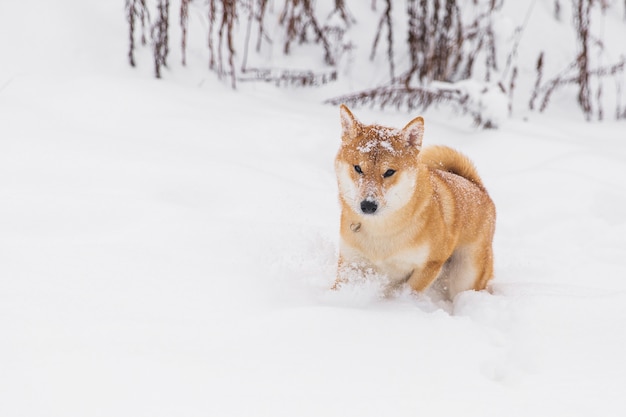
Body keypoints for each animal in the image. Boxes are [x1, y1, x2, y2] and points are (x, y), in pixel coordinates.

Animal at [332, 104, 492, 300]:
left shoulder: (430, 264)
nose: (368, 205)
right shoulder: (351, 262)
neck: (381, 232)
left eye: (389, 172)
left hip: (465, 277)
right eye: (358, 168)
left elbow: (408, 291)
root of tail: (477, 186)